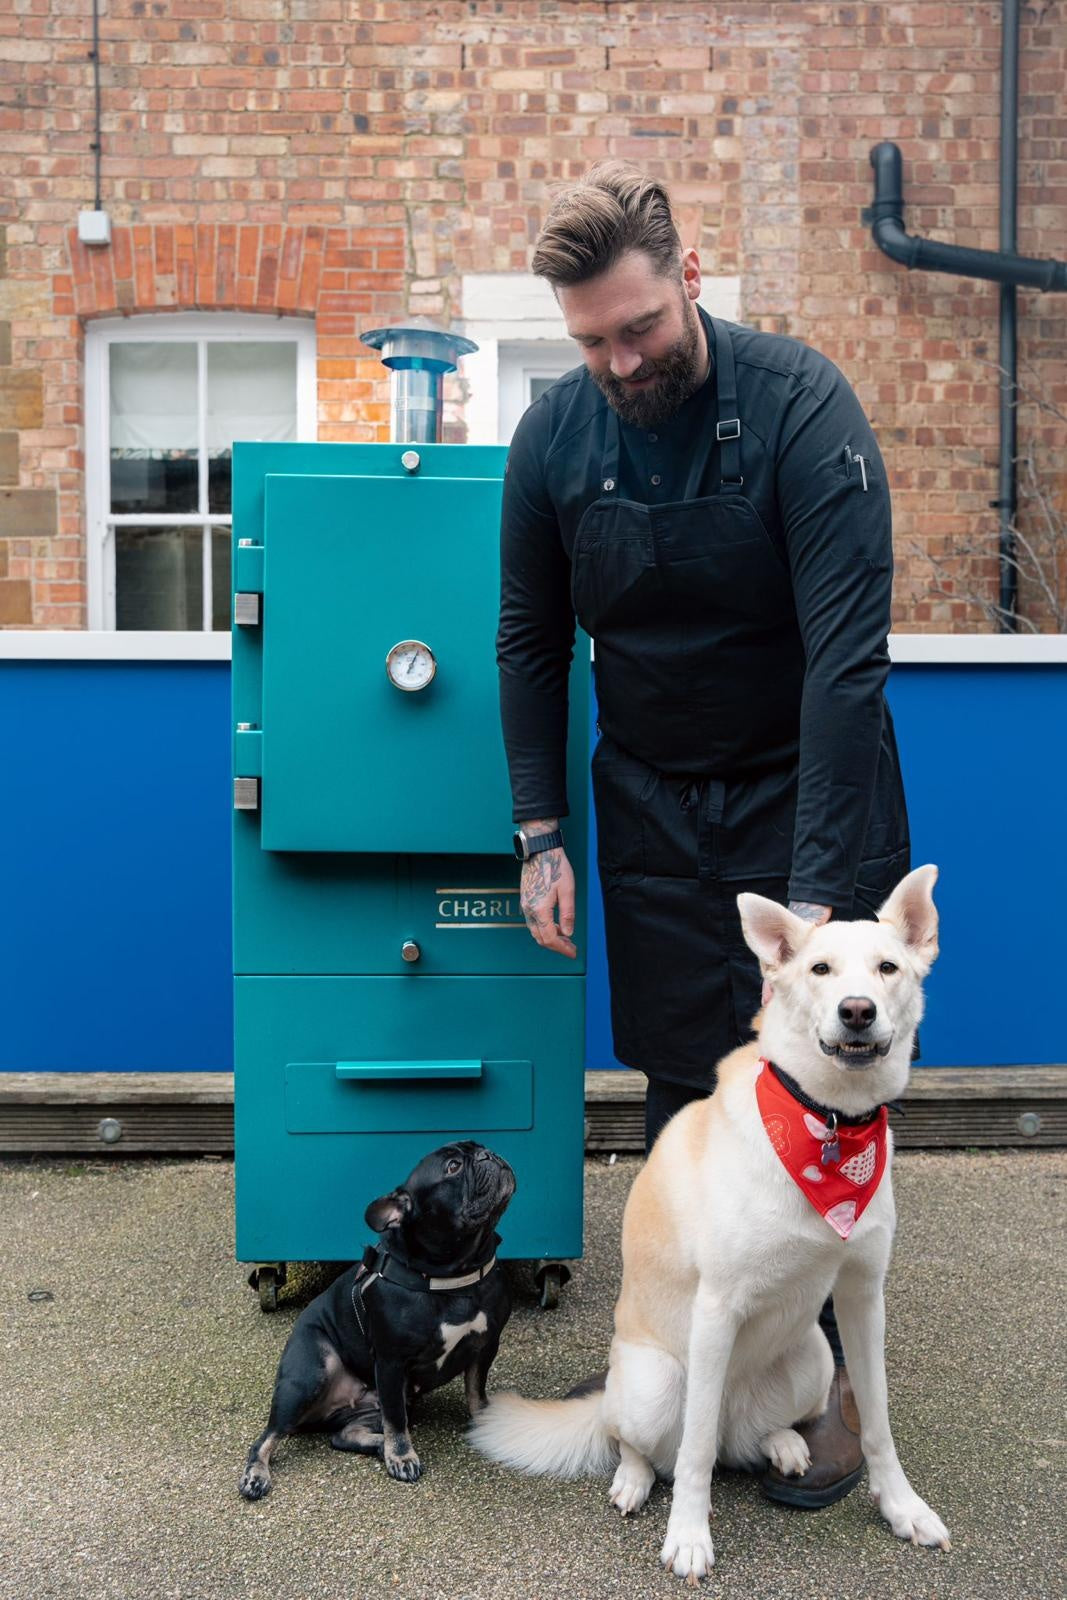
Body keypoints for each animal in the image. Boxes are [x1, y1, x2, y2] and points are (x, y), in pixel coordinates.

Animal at [473, 870, 953, 1580]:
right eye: (820, 969)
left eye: (887, 968)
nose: (858, 1011)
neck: (827, 1126)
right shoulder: (717, 1308)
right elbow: (695, 1454)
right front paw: (689, 1538)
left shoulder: (863, 1297)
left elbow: (876, 1422)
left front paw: (901, 1508)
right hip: (656, 1384)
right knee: (655, 1444)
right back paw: (634, 1479)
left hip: (812, 1354)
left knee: (742, 1441)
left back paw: (784, 1444)